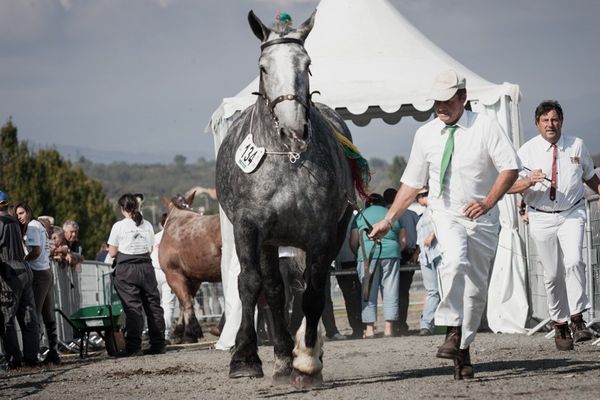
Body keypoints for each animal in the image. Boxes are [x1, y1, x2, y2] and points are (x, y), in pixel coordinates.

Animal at [159, 189, 223, 342]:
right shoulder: (194, 279)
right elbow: (184, 303)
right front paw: (180, 332)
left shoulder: (173, 275)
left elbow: (186, 302)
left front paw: (189, 333)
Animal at [216, 11, 356, 388]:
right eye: (263, 67)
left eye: (306, 64)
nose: (293, 127)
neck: (287, 157)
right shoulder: (249, 228)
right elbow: (251, 284)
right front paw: (245, 358)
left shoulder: (322, 234)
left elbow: (314, 293)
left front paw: (307, 360)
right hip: (269, 242)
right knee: (274, 291)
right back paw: (279, 358)